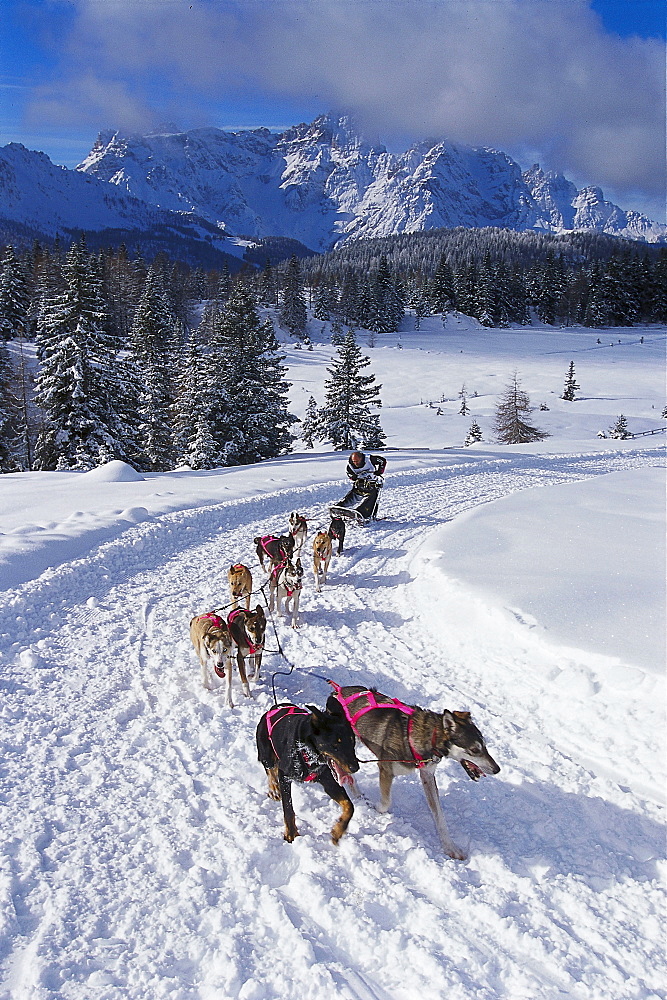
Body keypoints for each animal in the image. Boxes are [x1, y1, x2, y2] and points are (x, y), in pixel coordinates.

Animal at [256, 696, 360, 844]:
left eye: (352, 742)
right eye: (335, 745)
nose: (355, 767)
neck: (307, 750)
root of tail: (273, 709)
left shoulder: (328, 781)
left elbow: (349, 806)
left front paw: (338, 830)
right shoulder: (285, 775)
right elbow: (288, 809)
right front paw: (291, 834)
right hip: (266, 754)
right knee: (270, 770)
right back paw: (274, 789)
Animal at [332, 688, 498, 860]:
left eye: (485, 746)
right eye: (475, 750)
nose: (497, 769)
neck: (428, 737)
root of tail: (339, 691)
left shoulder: (427, 776)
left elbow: (439, 817)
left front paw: (450, 847)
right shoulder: (385, 769)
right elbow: (386, 802)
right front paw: (376, 807)